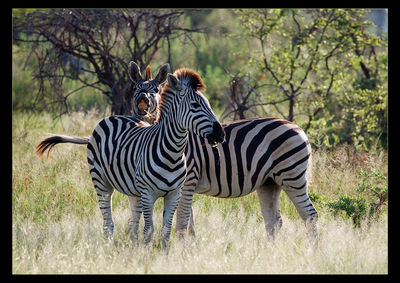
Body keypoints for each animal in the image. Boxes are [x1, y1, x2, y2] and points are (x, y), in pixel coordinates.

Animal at [35, 63, 225, 248]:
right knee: (108, 223)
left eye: (209, 104)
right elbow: (149, 230)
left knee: (132, 223)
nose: (221, 134)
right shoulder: (148, 194)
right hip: (101, 181)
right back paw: (108, 250)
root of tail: (112, 117)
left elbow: (165, 231)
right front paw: (146, 255)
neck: (173, 153)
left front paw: (162, 255)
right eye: (195, 106)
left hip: (133, 191)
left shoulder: (174, 194)